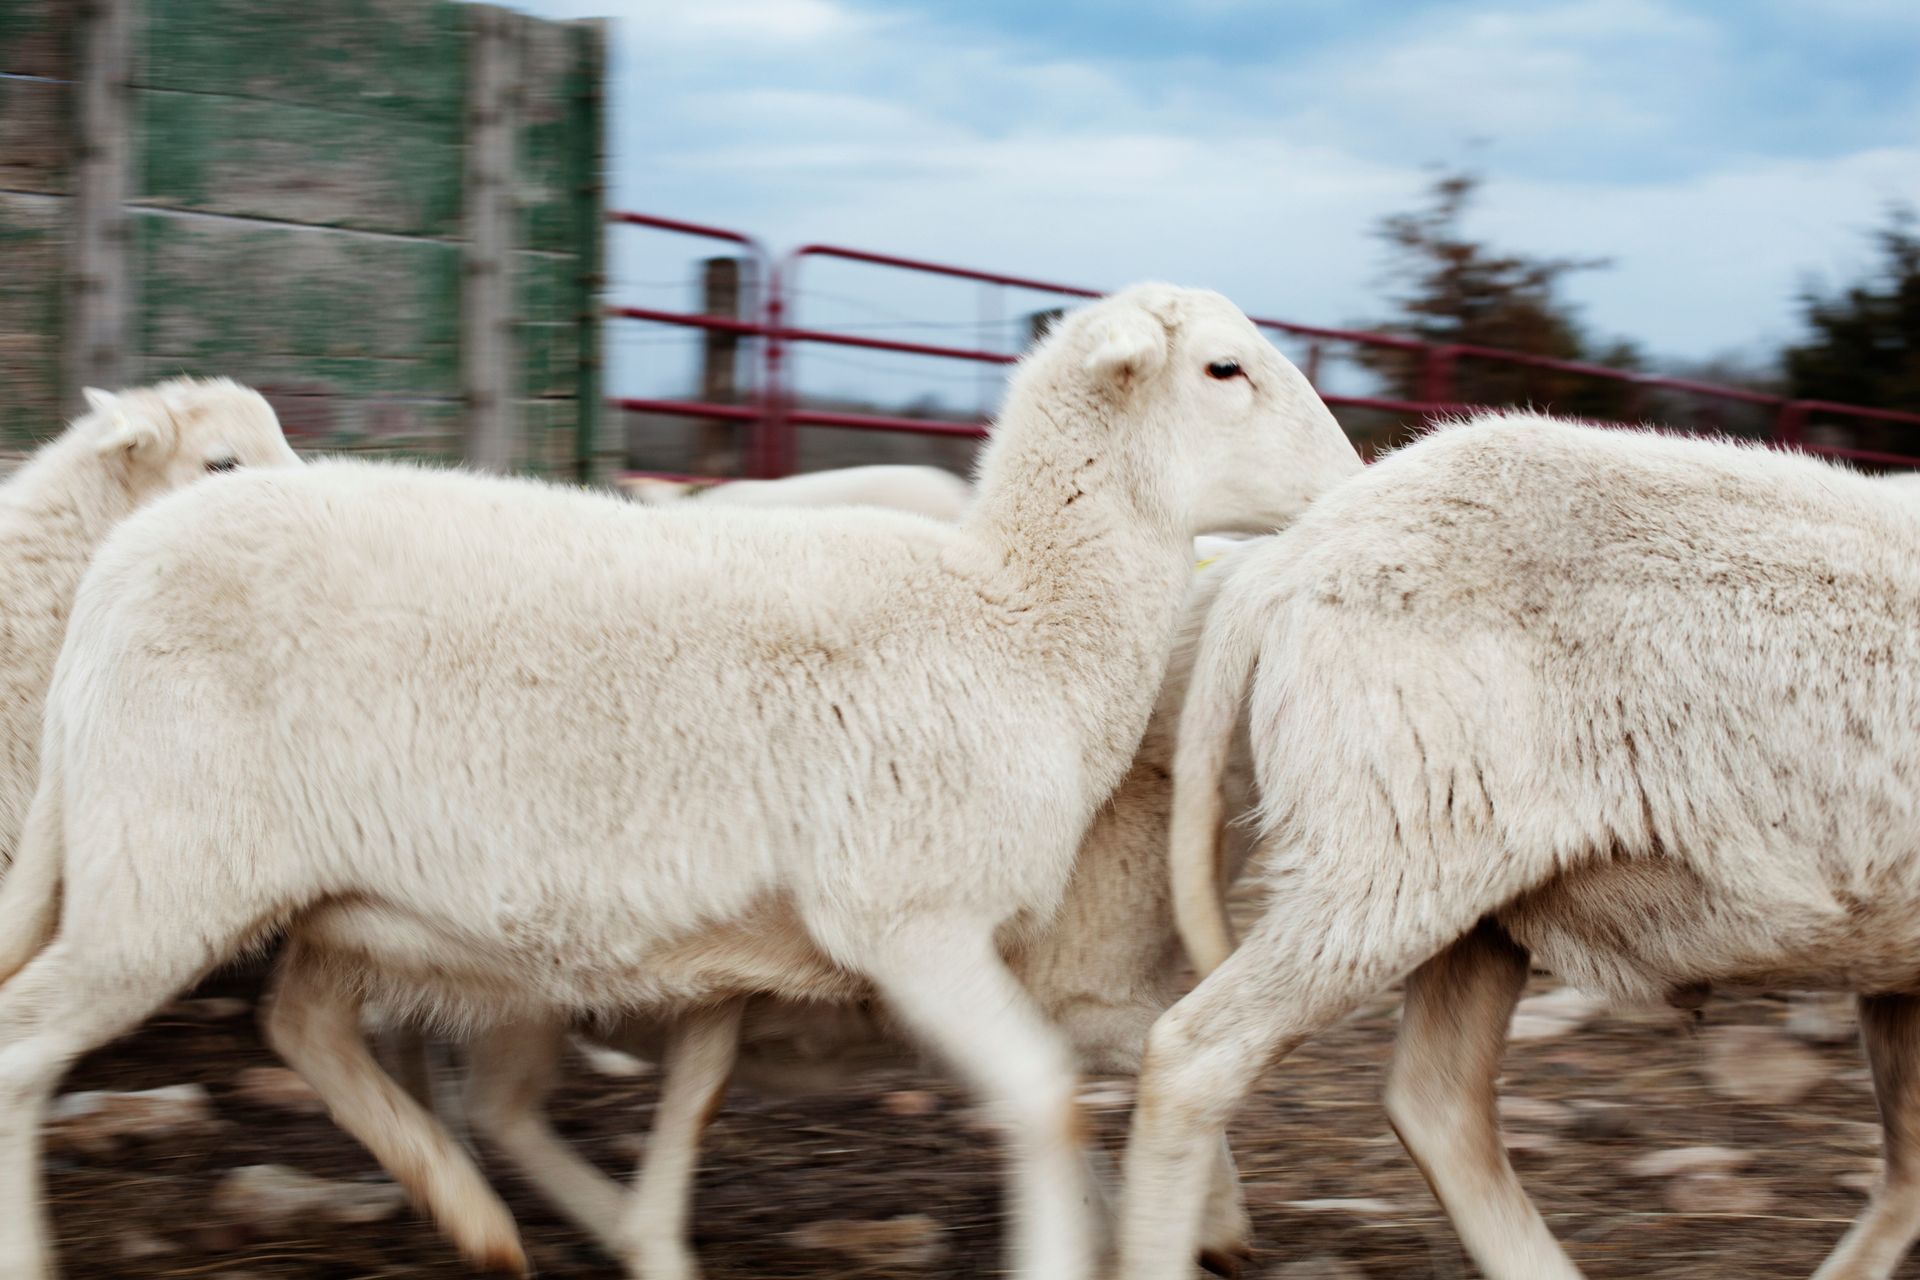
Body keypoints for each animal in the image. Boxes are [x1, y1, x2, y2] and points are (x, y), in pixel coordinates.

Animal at [1119, 411, 1920, 1280]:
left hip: (1479, 902)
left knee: (1438, 1105)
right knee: (1198, 1058)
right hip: (1388, 859)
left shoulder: (1899, 974)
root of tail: (1292, 554)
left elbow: (1910, 1166)